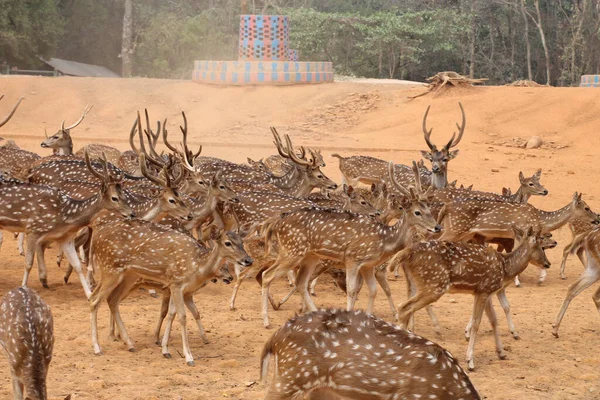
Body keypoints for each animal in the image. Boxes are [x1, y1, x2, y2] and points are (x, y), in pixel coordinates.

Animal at [260, 162, 438, 328]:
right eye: (417, 212)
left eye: (429, 210)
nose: (437, 227)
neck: (384, 241)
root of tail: (276, 223)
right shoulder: (353, 259)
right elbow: (352, 290)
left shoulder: (368, 265)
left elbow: (373, 290)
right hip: (292, 250)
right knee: (267, 275)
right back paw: (267, 321)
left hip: (310, 256)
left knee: (301, 282)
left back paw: (314, 313)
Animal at [396, 227, 552, 370]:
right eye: (540, 245)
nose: (548, 263)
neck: (505, 267)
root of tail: (406, 253)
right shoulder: (485, 290)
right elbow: (477, 323)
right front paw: (470, 361)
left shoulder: (484, 292)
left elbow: (493, 320)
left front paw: (501, 353)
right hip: (434, 284)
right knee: (404, 307)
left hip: (420, 283)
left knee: (404, 307)